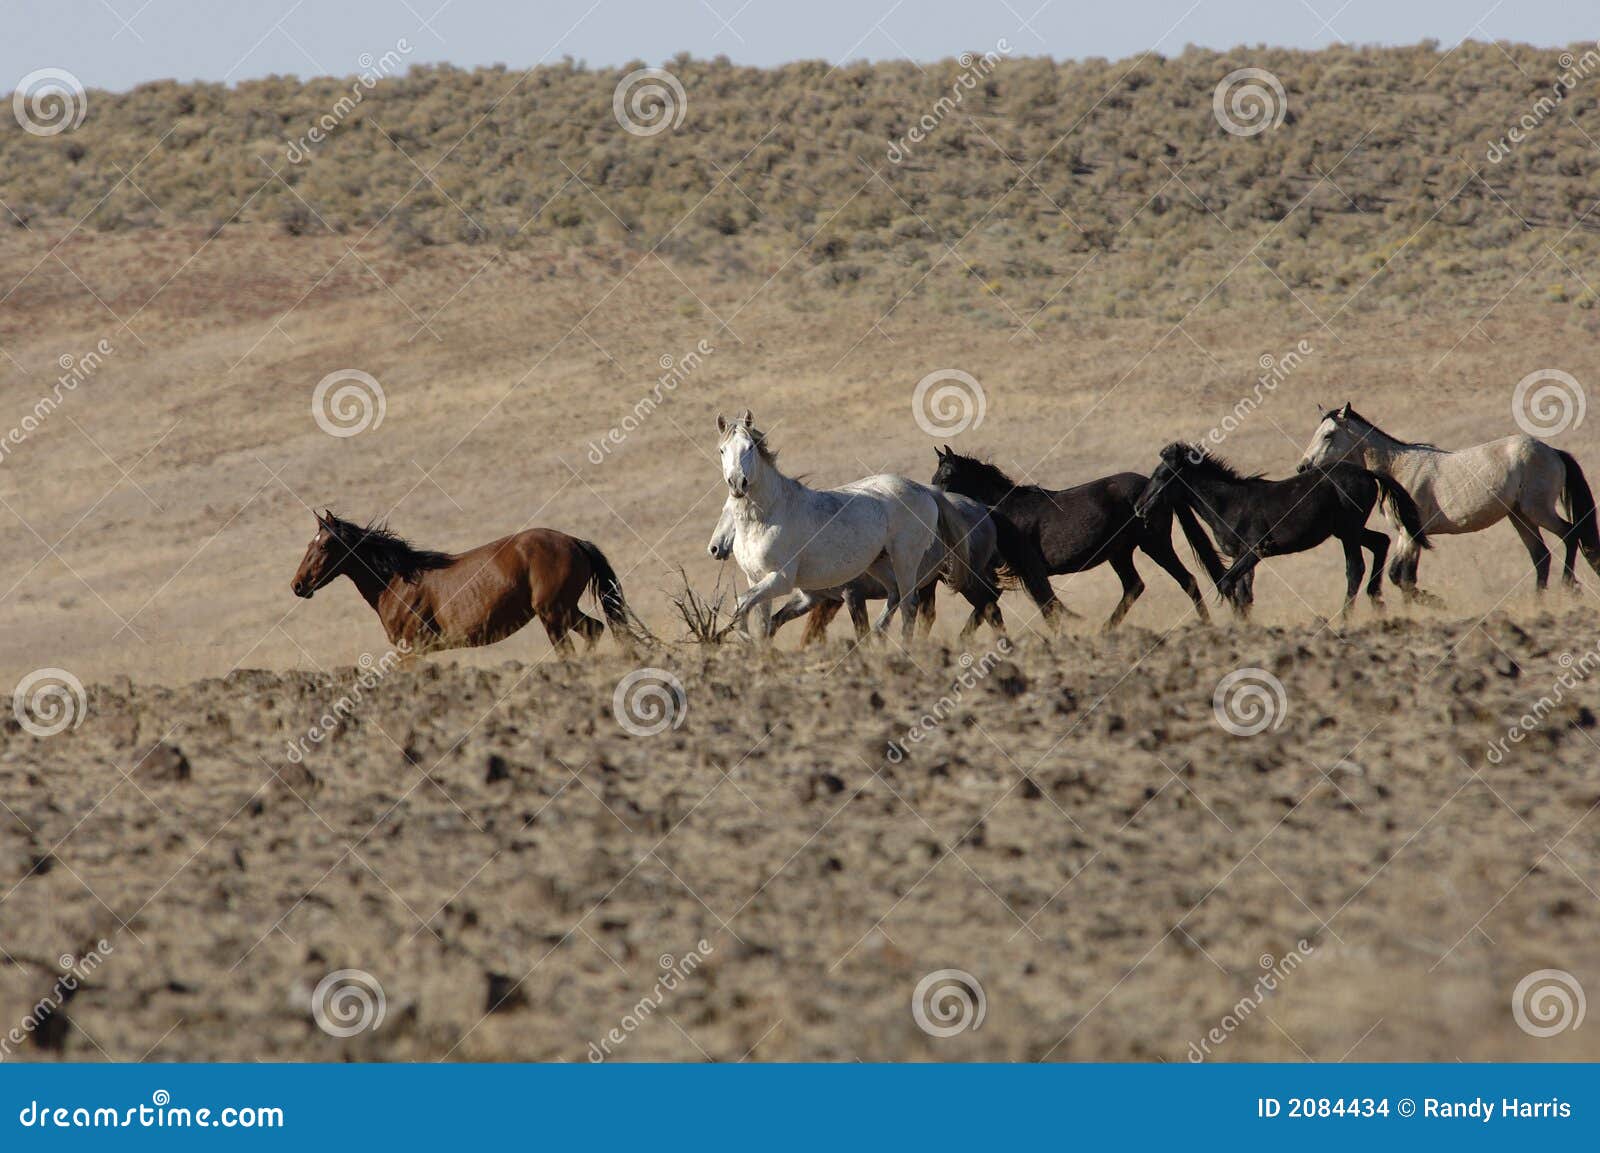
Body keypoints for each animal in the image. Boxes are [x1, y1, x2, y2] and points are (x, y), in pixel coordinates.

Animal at [294, 508, 636, 652]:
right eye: (310, 543)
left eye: (324, 545)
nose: (298, 585)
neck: (395, 582)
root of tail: (575, 542)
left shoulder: (411, 650)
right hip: (563, 611)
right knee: (595, 630)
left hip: (553, 614)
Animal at [720, 409, 966, 639]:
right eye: (722, 450)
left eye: (749, 447)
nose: (737, 483)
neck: (766, 517)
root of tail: (926, 490)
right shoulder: (755, 578)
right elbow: (761, 622)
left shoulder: (781, 579)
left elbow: (742, 603)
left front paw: (743, 637)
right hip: (878, 562)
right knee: (895, 594)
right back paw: (878, 635)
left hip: (905, 559)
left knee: (909, 605)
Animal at [934, 447, 1228, 630]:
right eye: (934, 476)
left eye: (947, 476)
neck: (1004, 512)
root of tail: (1153, 488)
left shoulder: (1014, 574)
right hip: (1119, 553)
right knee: (1134, 586)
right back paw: (1104, 632)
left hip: (1155, 545)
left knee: (1187, 581)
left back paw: (1207, 626)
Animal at [1132, 441, 1433, 620]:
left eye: (1163, 475)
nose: (1139, 508)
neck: (1230, 503)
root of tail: (1368, 473)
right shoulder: (1241, 555)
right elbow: (1245, 593)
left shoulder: (1255, 550)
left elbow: (1229, 584)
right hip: (1348, 530)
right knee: (1380, 542)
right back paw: (1377, 602)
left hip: (1348, 531)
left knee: (1355, 567)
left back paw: (1346, 618)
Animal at [1299, 402, 1600, 598]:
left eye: (1328, 435)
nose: (1303, 467)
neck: (1397, 469)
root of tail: (1553, 451)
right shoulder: (1408, 534)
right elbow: (1404, 576)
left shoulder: (1410, 533)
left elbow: (1401, 576)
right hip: (1520, 517)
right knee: (1540, 556)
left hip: (1537, 510)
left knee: (1570, 534)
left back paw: (1569, 586)